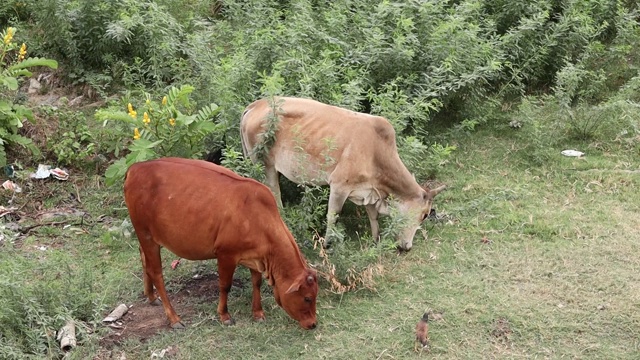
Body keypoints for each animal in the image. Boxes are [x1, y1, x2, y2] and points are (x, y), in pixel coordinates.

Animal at [123, 158, 318, 330]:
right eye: (307, 298)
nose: (313, 324)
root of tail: (135, 168)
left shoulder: (255, 256)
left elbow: (256, 282)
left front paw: (258, 313)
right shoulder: (226, 254)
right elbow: (225, 285)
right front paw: (224, 315)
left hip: (146, 237)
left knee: (143, 258)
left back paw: (151, 296)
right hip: (146, 234)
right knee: (156, 272)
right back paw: (174, 318)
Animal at [240, 97, 444, 252]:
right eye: (425, 214)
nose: (407, 247)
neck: (376, 152)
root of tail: (256, 104)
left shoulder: (367, 190)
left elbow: (373, 216)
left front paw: (376, 240)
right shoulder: (339, 186)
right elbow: (333, 217)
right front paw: (328, 245)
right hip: (265, 165)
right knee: (274, 195)